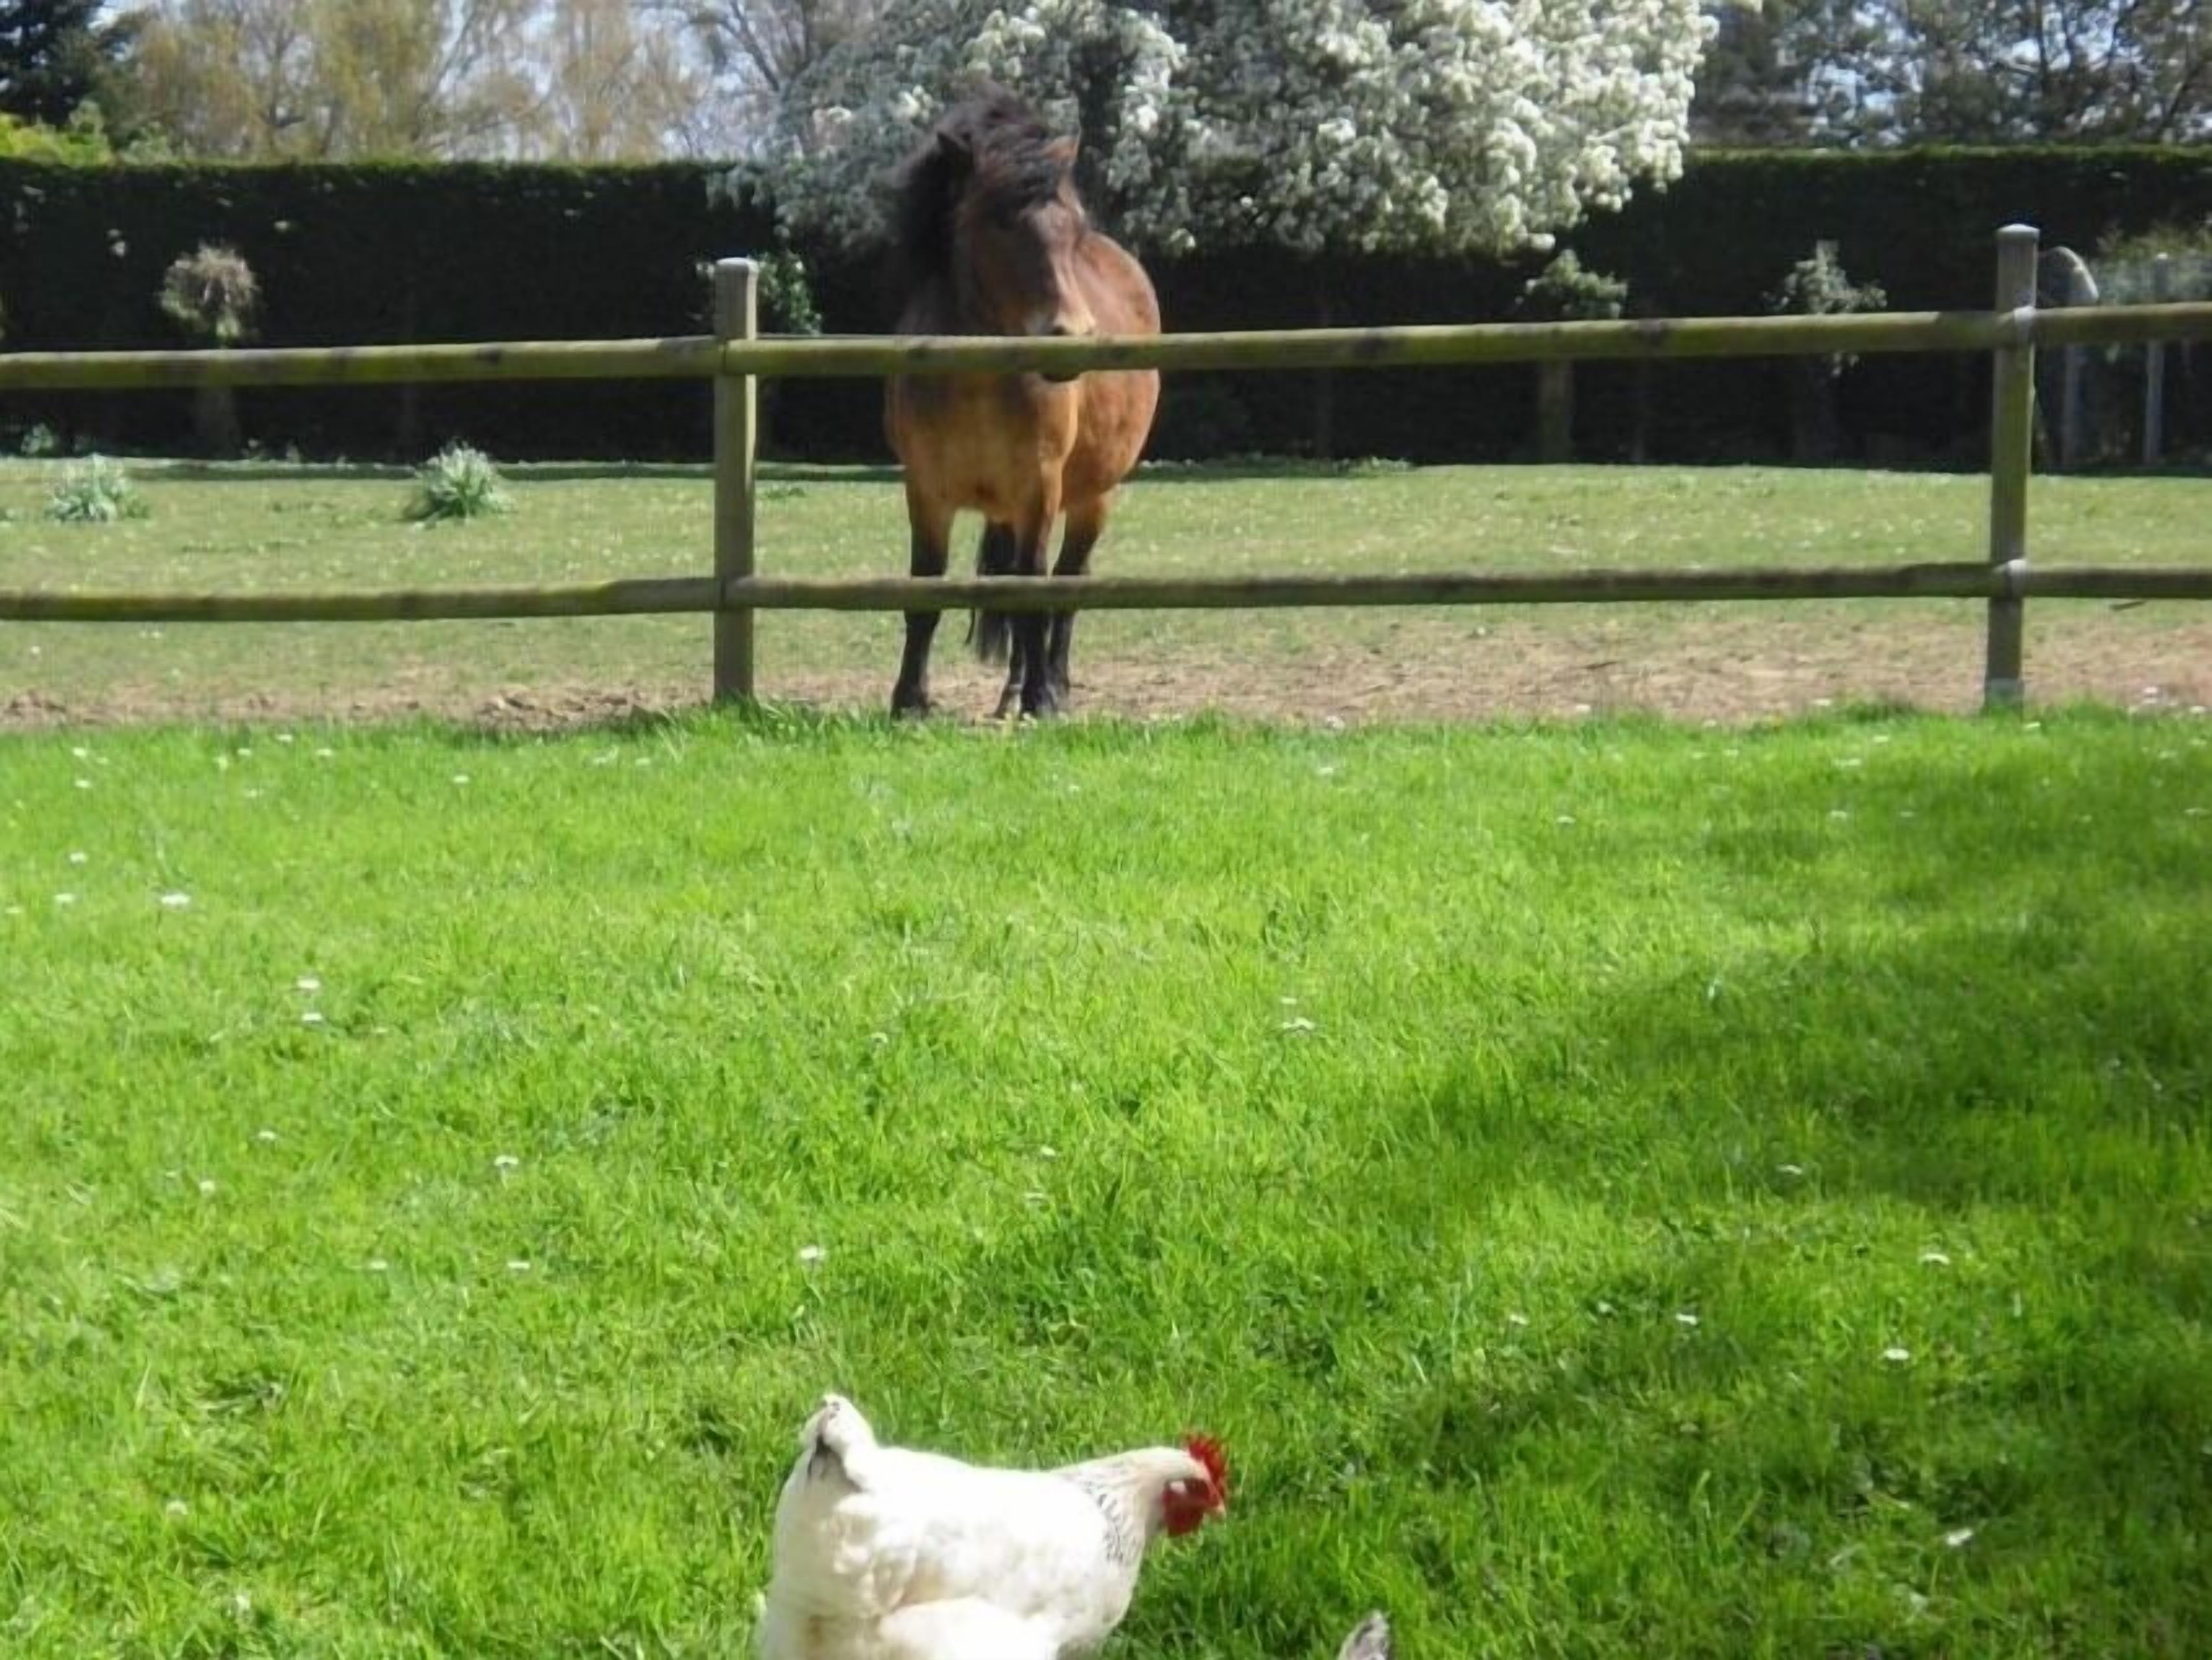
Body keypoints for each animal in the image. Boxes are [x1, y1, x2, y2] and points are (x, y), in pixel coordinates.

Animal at [881, 88, 1162, 719]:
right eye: (999, 223)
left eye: (1073, 228)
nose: (1069, 337)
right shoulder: (926, 492)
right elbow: (925, 594)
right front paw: (910, 699)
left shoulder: (1041, 489)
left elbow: (1036, 591)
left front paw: (1043, 699)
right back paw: (1012, 689)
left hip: (1093, 498)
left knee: (1067, 585)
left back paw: (1050, 684)